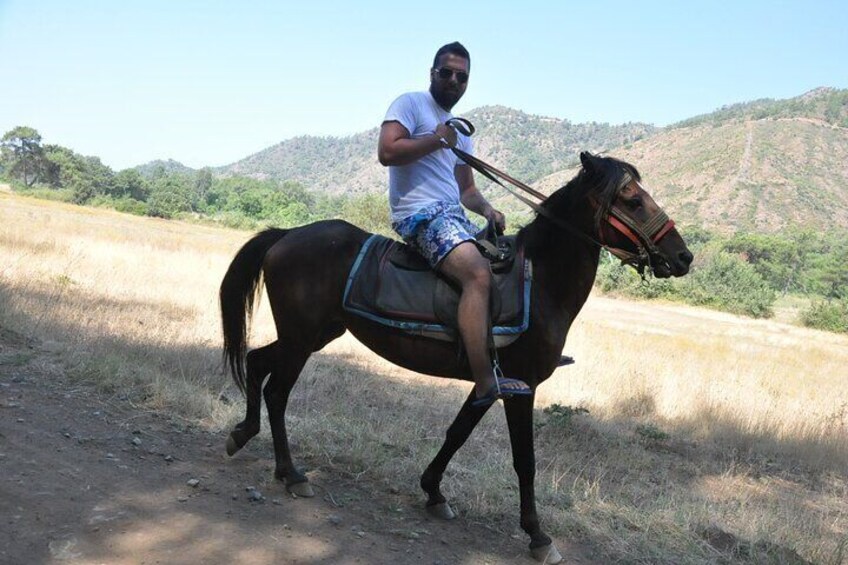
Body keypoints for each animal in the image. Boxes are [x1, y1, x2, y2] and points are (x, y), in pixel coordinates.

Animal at [220, 150, 696, 560]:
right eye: (632, 199)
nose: (683, 256)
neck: (540, 281)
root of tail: (288, 235)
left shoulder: (490, 383)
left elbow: (457, 433)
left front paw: (433, 491)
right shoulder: (523, 387)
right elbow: (525, 461)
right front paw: (537, 535)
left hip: (311, 335)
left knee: (257, 362)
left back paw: (243, 434)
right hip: (301, 339)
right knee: (277, 392)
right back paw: (291, 473)